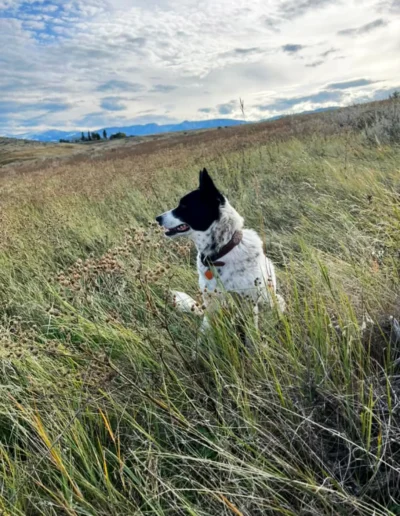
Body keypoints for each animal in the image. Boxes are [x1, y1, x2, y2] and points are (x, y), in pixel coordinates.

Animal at [156, 168, 284, 334]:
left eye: (184, 206)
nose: (157, 218)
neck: (220, 253)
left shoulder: (248, 302)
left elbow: (251, 335)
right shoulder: (210, 302)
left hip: (276, 300)